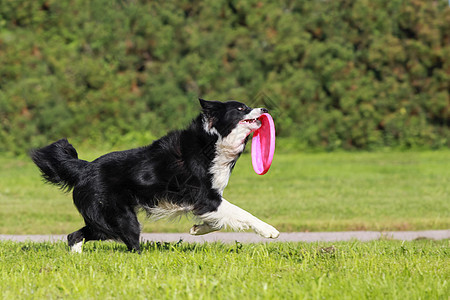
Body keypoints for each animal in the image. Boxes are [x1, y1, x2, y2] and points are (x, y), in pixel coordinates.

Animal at [30, 99, 278, 252]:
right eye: (241, 109)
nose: (265, 110)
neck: (213, 141)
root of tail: (84, 167)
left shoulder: (204, 201)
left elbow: (218, 220)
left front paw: (197, 229)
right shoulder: (206, 196)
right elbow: (242, 213)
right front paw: (270, 231)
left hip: (105, 220)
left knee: (75, 235)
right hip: (120, 218)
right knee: (130, 245)